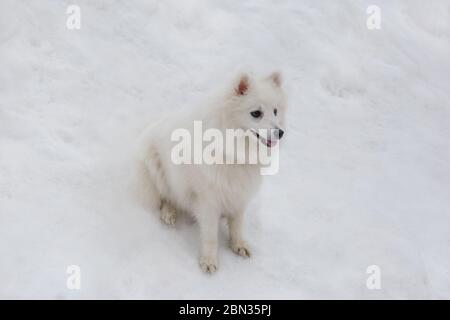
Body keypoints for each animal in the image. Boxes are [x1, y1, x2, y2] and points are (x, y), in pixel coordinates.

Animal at [135, 72, 286, 272]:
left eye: (275, 111)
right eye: (256, 113)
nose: (280, 133)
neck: (232, 152)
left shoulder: (238, 194)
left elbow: (237, 225)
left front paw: (238, 245)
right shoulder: (207, 201)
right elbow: (210, 235)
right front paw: (208, 260)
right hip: (156, 168)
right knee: (166, 197)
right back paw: (169, 213)